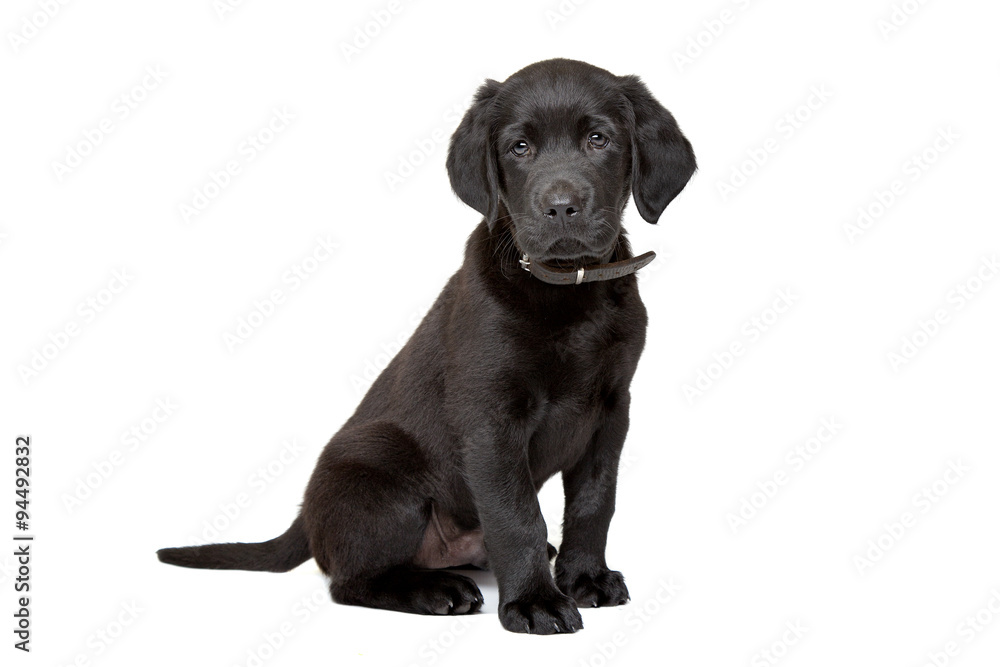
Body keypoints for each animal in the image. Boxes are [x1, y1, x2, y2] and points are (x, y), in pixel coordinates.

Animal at [158, 58, 696, 636]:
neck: (566, 290)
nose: (561, 207)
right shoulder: (491, 418)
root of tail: (305, 517)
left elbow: (595, 501)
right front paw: (535, 601)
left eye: (599, 139)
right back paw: (435, 590)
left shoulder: (611, 410)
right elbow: (517, 515)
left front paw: (584, 577)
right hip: (380, 465)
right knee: (349, 580)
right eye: (519, 147)